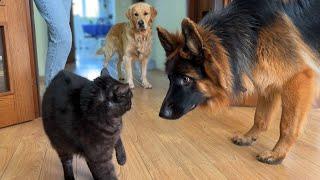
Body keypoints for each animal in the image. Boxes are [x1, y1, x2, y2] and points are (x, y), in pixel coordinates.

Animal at [158, 0, 320, 165]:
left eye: (186, 79)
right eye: (170, 78)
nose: (161, 114)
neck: (254, 28)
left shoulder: (298, 78)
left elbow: (287, 125)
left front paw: (278, 153)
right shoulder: (269, 81)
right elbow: (260, 117)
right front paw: (249, 137)